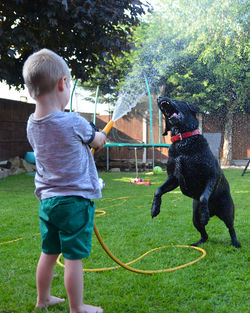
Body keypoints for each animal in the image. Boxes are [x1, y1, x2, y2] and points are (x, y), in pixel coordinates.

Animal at [151, 96, 241, 247]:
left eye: (177, 100)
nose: (159, 98)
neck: (183, 141)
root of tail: (214, 212)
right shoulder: (173, 178)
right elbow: (158, 191)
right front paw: (154, 208)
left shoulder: (212, 175)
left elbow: (204, 197)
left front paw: (204, 214)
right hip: (194, 218)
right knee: (204, 233)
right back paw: (198, 242)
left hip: (227, 211)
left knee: (231, 227)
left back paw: (235, 242)